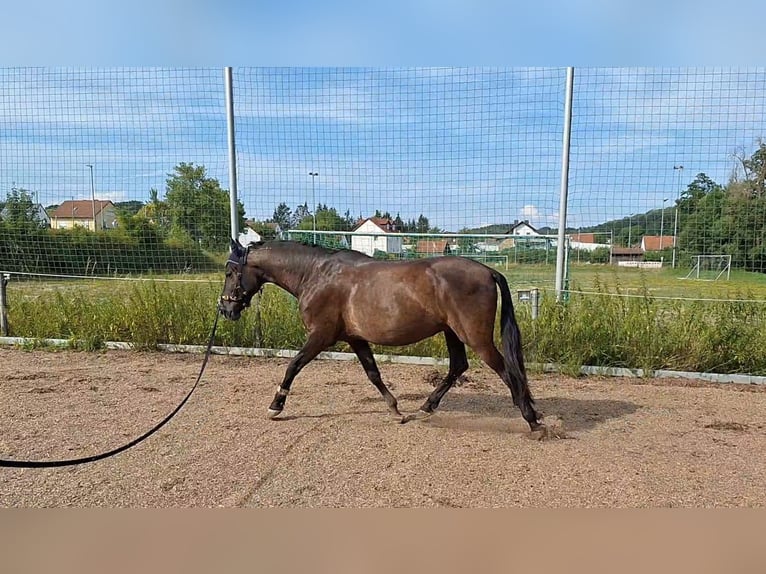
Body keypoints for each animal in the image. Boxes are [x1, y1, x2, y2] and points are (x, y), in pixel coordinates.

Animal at [218, 239, 544, 433]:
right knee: (458, 366)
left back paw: (532, 419)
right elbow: (372, 373)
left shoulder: (321, 335)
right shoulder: (355, 338)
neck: (315, 274)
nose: (225, 308)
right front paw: (396, 409)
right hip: (451, 331)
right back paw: (426, 407)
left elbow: (293, 365)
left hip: (475, 336)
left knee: (506, 370)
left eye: (230, 272)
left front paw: (276, 405)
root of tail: (488, 271)